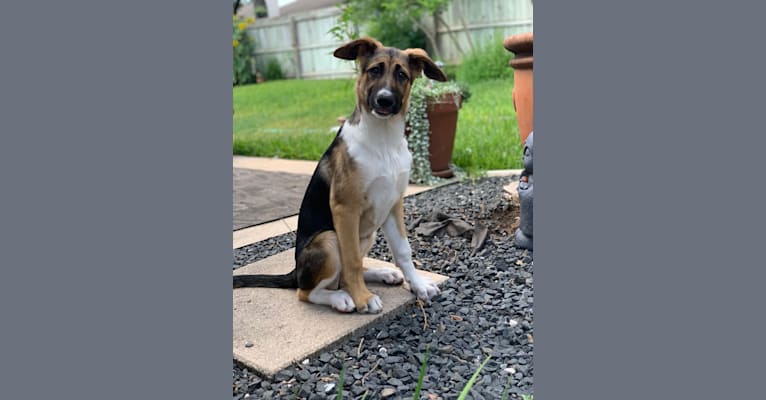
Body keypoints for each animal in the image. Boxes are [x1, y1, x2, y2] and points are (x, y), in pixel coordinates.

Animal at [234, 37, 450, 312]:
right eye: (374, 70)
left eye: (401, 74)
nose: (385, 100)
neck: (383, 139)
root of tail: (295, 272)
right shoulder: (345, 209)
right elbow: (352, 261)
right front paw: (363, 298)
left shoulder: (393, 204)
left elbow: (403, 251)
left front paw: (419, 285)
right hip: (328, 239)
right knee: (307, 291)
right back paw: (341, 298)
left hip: (368, 233)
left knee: (345, 274)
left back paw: (382, 274)